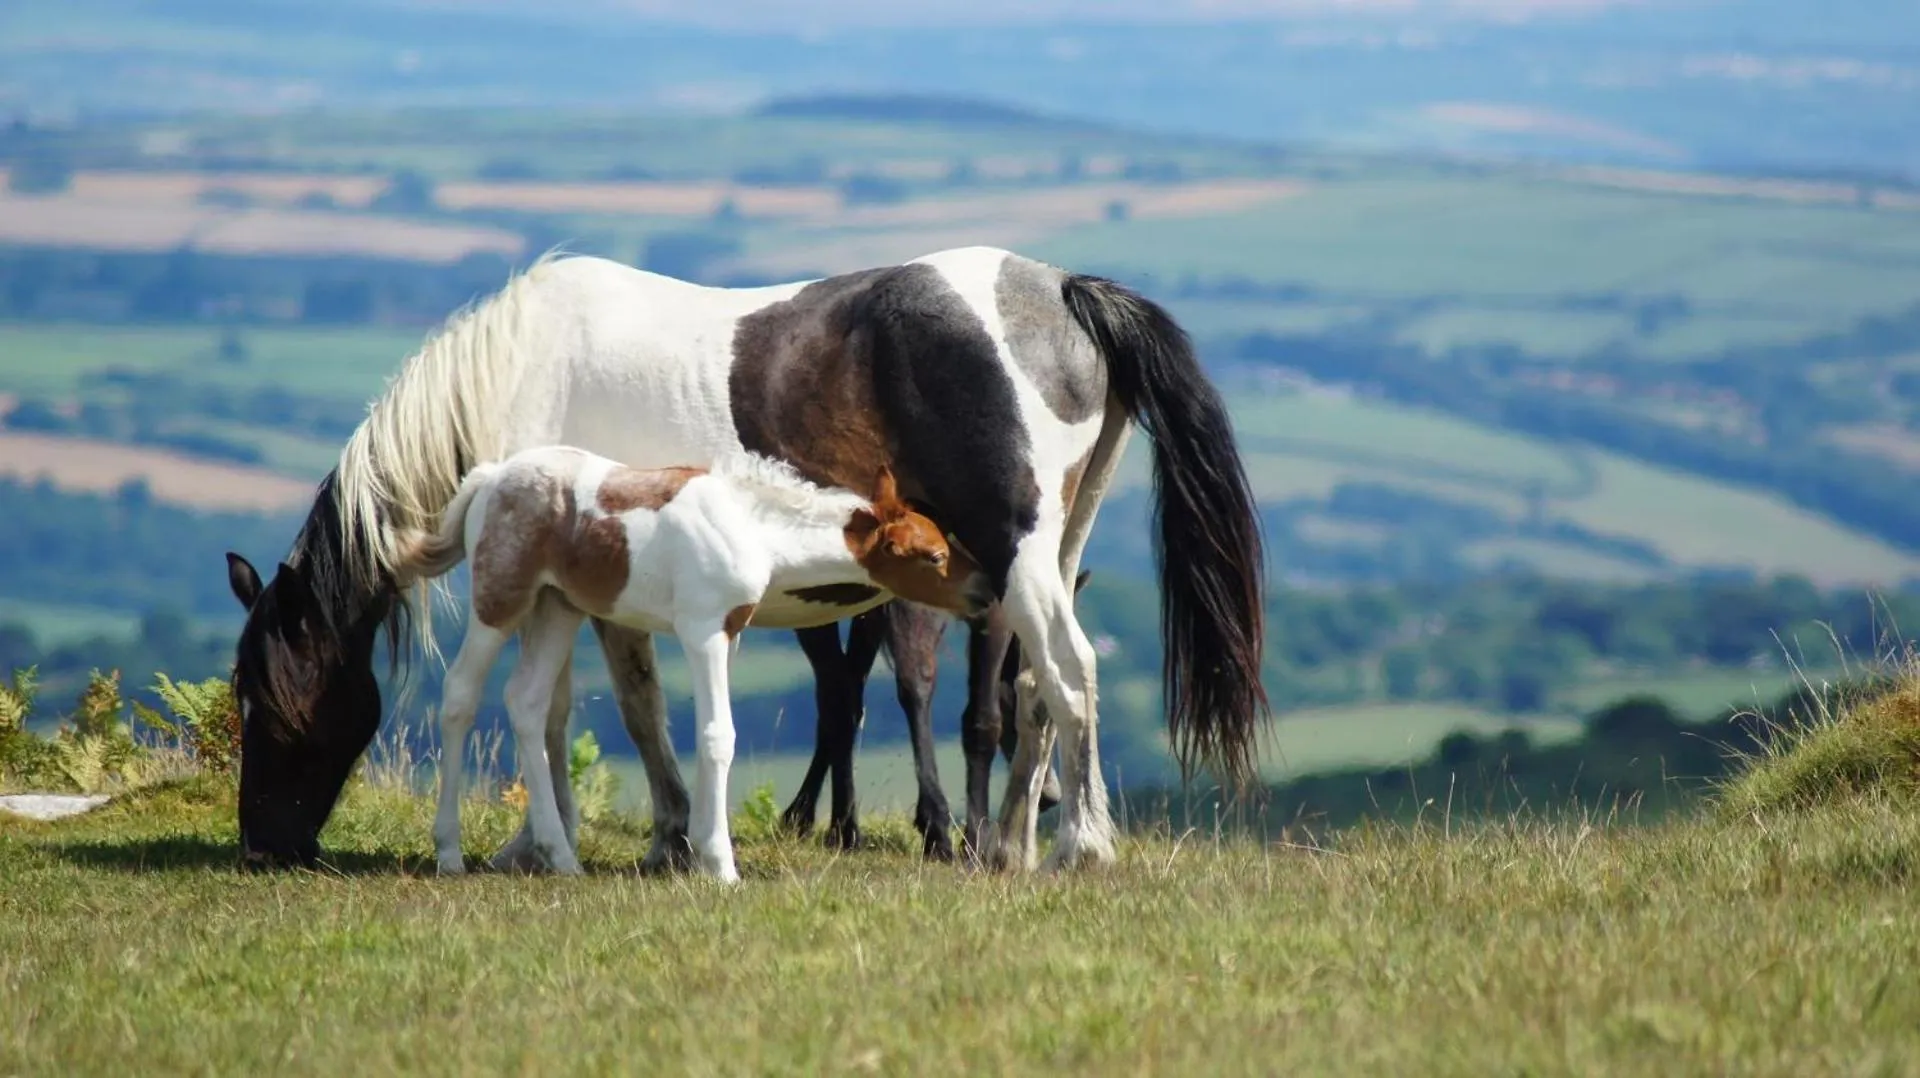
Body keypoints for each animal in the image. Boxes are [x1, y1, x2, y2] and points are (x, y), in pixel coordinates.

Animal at [399, 447, 987, 880]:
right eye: (934, 555)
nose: (985, 591)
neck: (752, 526)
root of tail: (490, 476)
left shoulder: (728, 632)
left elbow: (712, 734)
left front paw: (703, 852)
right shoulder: (702, 631)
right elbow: (717, 735)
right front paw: (720, 864)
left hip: (558, 607)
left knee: (526, 701)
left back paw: (562, 858)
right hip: (500, 602)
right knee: (460, 696)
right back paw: (449, 852)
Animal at [780, 571, 1089, 863]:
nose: (1050, 794)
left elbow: (849, 693)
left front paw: (802, 816)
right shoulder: (992, 612)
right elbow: (983, 718)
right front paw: (974, 840)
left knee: (839, 691)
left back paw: (842, 829)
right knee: (913, 677)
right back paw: (935, 828)